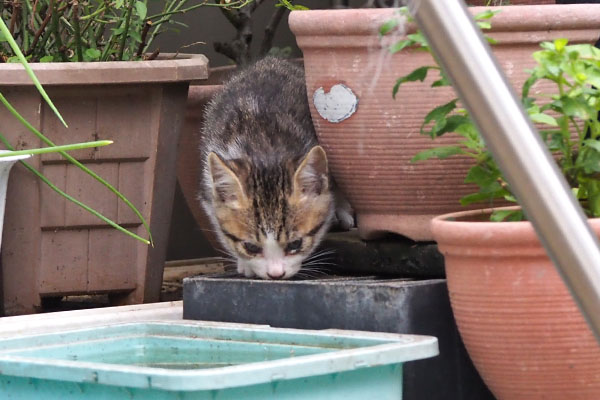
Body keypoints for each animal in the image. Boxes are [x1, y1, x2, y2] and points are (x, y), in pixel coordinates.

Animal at [200, 57, 338, 280]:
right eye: (251, 247)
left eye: (295, 244)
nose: (276, 274)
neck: (263, 149)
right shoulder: (208, 192)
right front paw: (245, 263)